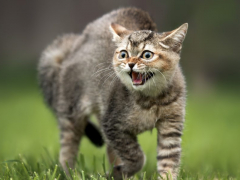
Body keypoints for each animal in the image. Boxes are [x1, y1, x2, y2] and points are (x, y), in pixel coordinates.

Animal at [38, 7, 188, 180]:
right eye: (123, 54)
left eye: (147, 55)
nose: (130, 64)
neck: (150, 99)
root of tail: (76, 44)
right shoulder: (113, 126)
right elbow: (136, 156)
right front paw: (122, 170)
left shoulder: (171, 128)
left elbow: (168, 162)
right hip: (72, 112)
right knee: (67, 150)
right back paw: (69, 174)